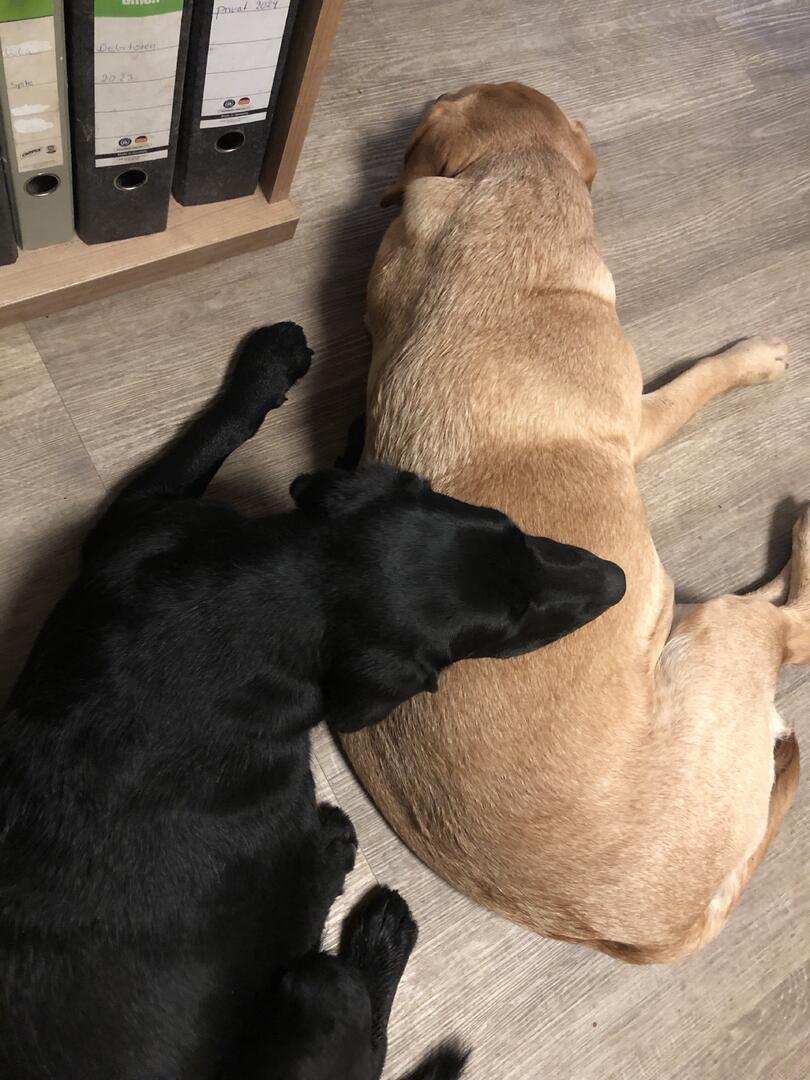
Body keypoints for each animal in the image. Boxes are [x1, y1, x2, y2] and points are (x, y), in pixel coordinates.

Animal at [0, 320, 622, 1078]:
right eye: (512, 625)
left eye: (513, 526)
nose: (617, 579)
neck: (280, 595)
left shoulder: (143, 520)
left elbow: (211, 431)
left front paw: (283, 377)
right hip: (320, 990)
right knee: (366, 1038)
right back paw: (372, 916)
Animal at [341, 82, 809, 963]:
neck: (511, 200)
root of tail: (663, 931)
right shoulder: (643, 415)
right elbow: (698, 379)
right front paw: (751, 359)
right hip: (722, 639)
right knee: (790, 628)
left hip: (698, 629)